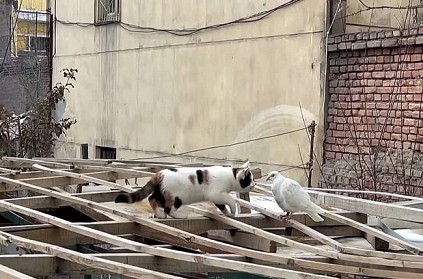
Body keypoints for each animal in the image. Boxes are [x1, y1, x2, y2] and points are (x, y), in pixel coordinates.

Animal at [112, 162, 256, 219]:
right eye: (250, 180)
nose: (254, 184)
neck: (231, 176)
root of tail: (159, 174)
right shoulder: (217, 194)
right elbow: (230, 200)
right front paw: (233, 211)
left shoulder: (217, 198)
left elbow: (222, 206)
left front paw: (227, 214)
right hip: (176, 198)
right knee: (168, 209)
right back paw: (177, 215)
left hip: (162, 193)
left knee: (152, 198)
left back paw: (158, 215)